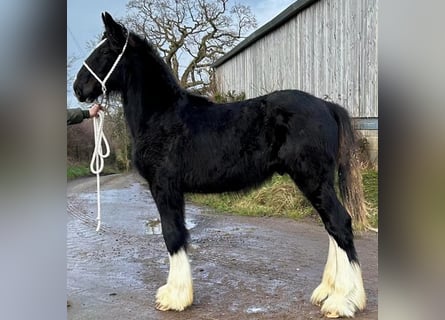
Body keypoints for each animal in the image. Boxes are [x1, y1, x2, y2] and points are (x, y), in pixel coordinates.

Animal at [74, 11, 368, 318]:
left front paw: (175, 297)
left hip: (313, 179)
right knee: (332, 228)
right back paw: (328, 292)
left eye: (106, 51)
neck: (162, 116)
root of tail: (327, 107)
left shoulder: (164, 187)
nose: (78, 88)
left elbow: (173, 234)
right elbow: (178, 233)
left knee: (339, 223)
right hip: (318, 181)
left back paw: (342, 301)